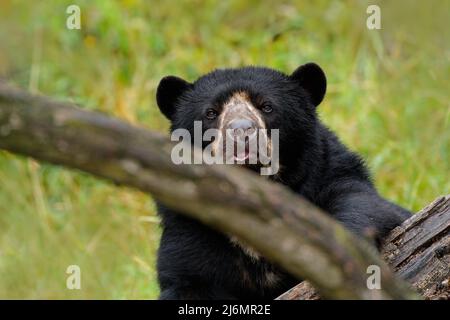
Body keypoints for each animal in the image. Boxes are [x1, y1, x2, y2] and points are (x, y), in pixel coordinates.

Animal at [155, 63, 412, 300]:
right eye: (211, 113)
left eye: (267, 106)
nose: (241, 131)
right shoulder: (190, 229)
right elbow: (188, 278)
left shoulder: (329, 175)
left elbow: (360, 205)